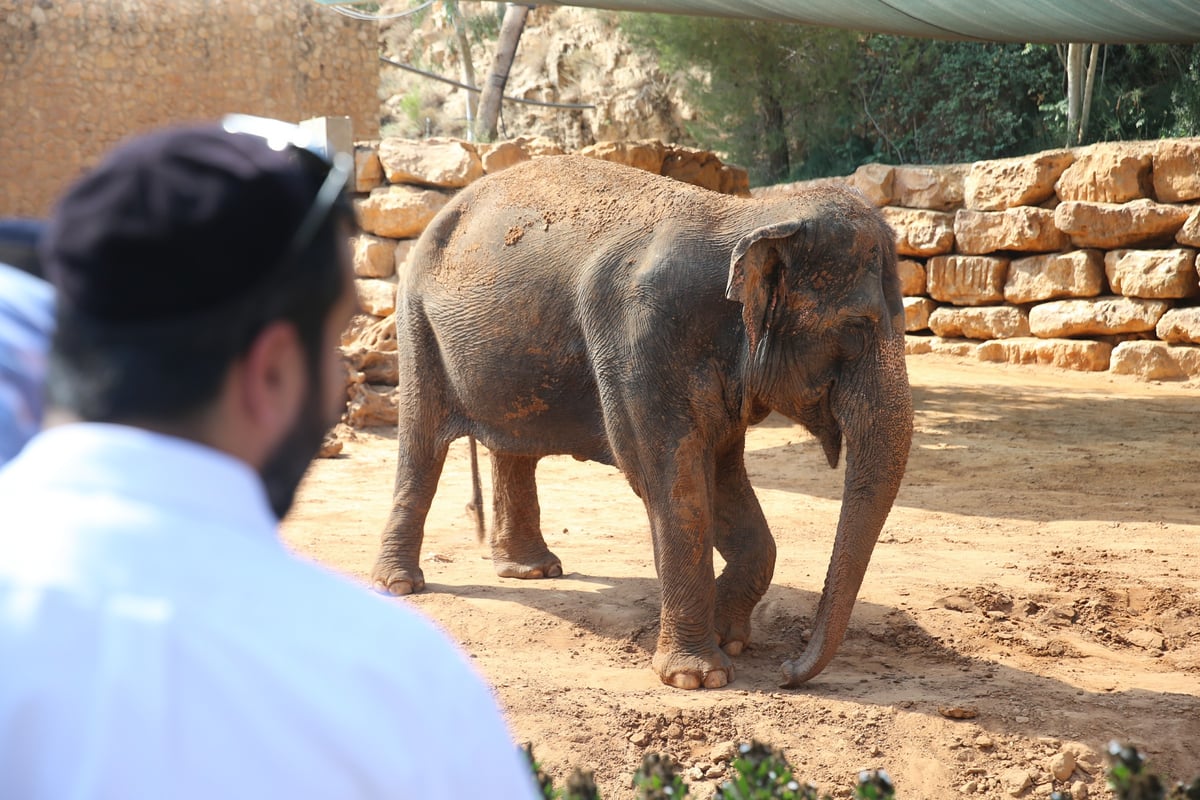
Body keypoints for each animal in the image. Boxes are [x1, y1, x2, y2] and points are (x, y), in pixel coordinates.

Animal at [369, 154, 912, 690]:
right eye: (856, 327)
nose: (787, 673)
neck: (753, 216)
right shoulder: (640, 341)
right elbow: (671, 484)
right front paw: (698, 677)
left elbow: (724, 477)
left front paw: (729, 638)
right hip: (415, 321)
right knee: (421, 444)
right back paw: (399, 584)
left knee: (513, 446)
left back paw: (531, 572)